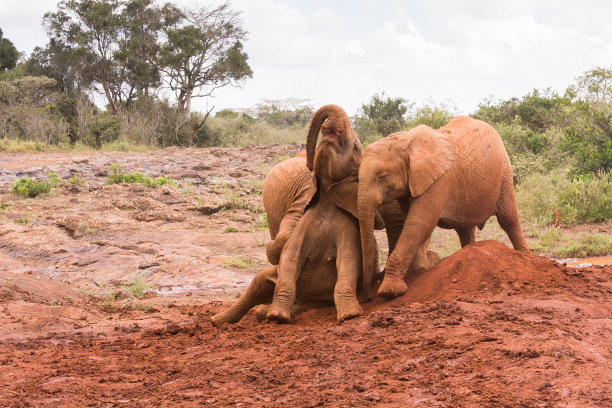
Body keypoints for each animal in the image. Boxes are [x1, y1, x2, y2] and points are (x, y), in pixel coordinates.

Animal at [358, 116, 532, 298]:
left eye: (382, 176)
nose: (368, 297)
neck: (405, 141)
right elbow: (415, 225)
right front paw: (423, 268)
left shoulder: (438, 181)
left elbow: (419, 223)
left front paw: (390, 291)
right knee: (465, 230)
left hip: (504, 172)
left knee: (508, 218)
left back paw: (526, 256)